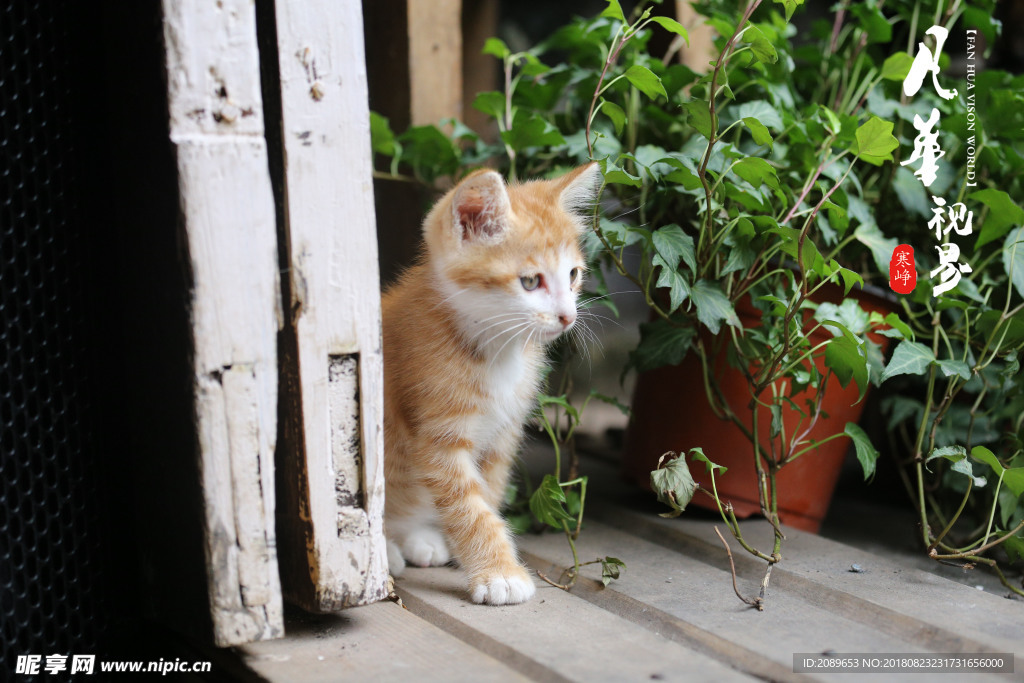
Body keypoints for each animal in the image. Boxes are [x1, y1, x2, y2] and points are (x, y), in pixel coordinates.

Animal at [380, 162, 598, 606]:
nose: (568, 316)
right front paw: (500, 573)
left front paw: (488, 557)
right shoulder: (438, 435)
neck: (498, 352)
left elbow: (490, 492)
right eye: (530, 282)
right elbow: (468, 505)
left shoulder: (505, 430)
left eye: (572, 274)